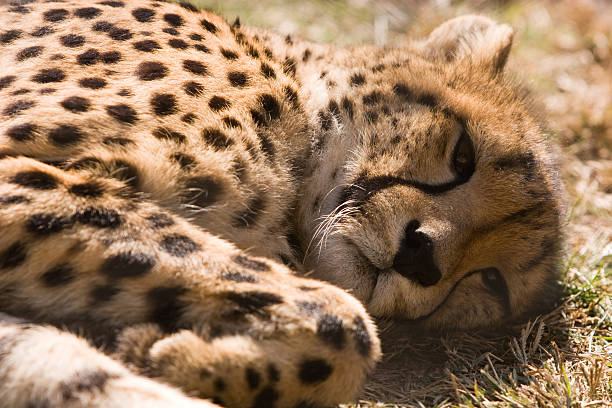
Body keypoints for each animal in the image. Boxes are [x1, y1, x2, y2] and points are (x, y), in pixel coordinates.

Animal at [0, 1, 564, 406]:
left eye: (490, 281)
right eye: (463, 153)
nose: (420, 257)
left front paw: (180, 360)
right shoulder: (17, 176)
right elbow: (344, 319)